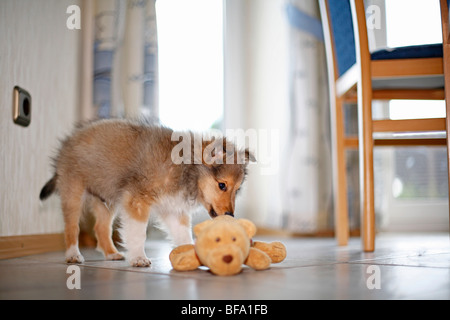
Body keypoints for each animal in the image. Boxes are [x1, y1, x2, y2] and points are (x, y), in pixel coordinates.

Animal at [40, 119, 255, 266]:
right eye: (222, 185)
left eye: (237, 189)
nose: (230, 215)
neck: (185, 168)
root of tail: (68, 142)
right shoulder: (137, 200)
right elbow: (138, 233)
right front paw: (139, 258)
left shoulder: (173, 209)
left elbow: (182, 233)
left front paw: (190, 252)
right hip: (73, 192)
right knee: (72, 227)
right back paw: (73, 255)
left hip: (105, 200)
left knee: (101, 228)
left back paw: (112, 253)